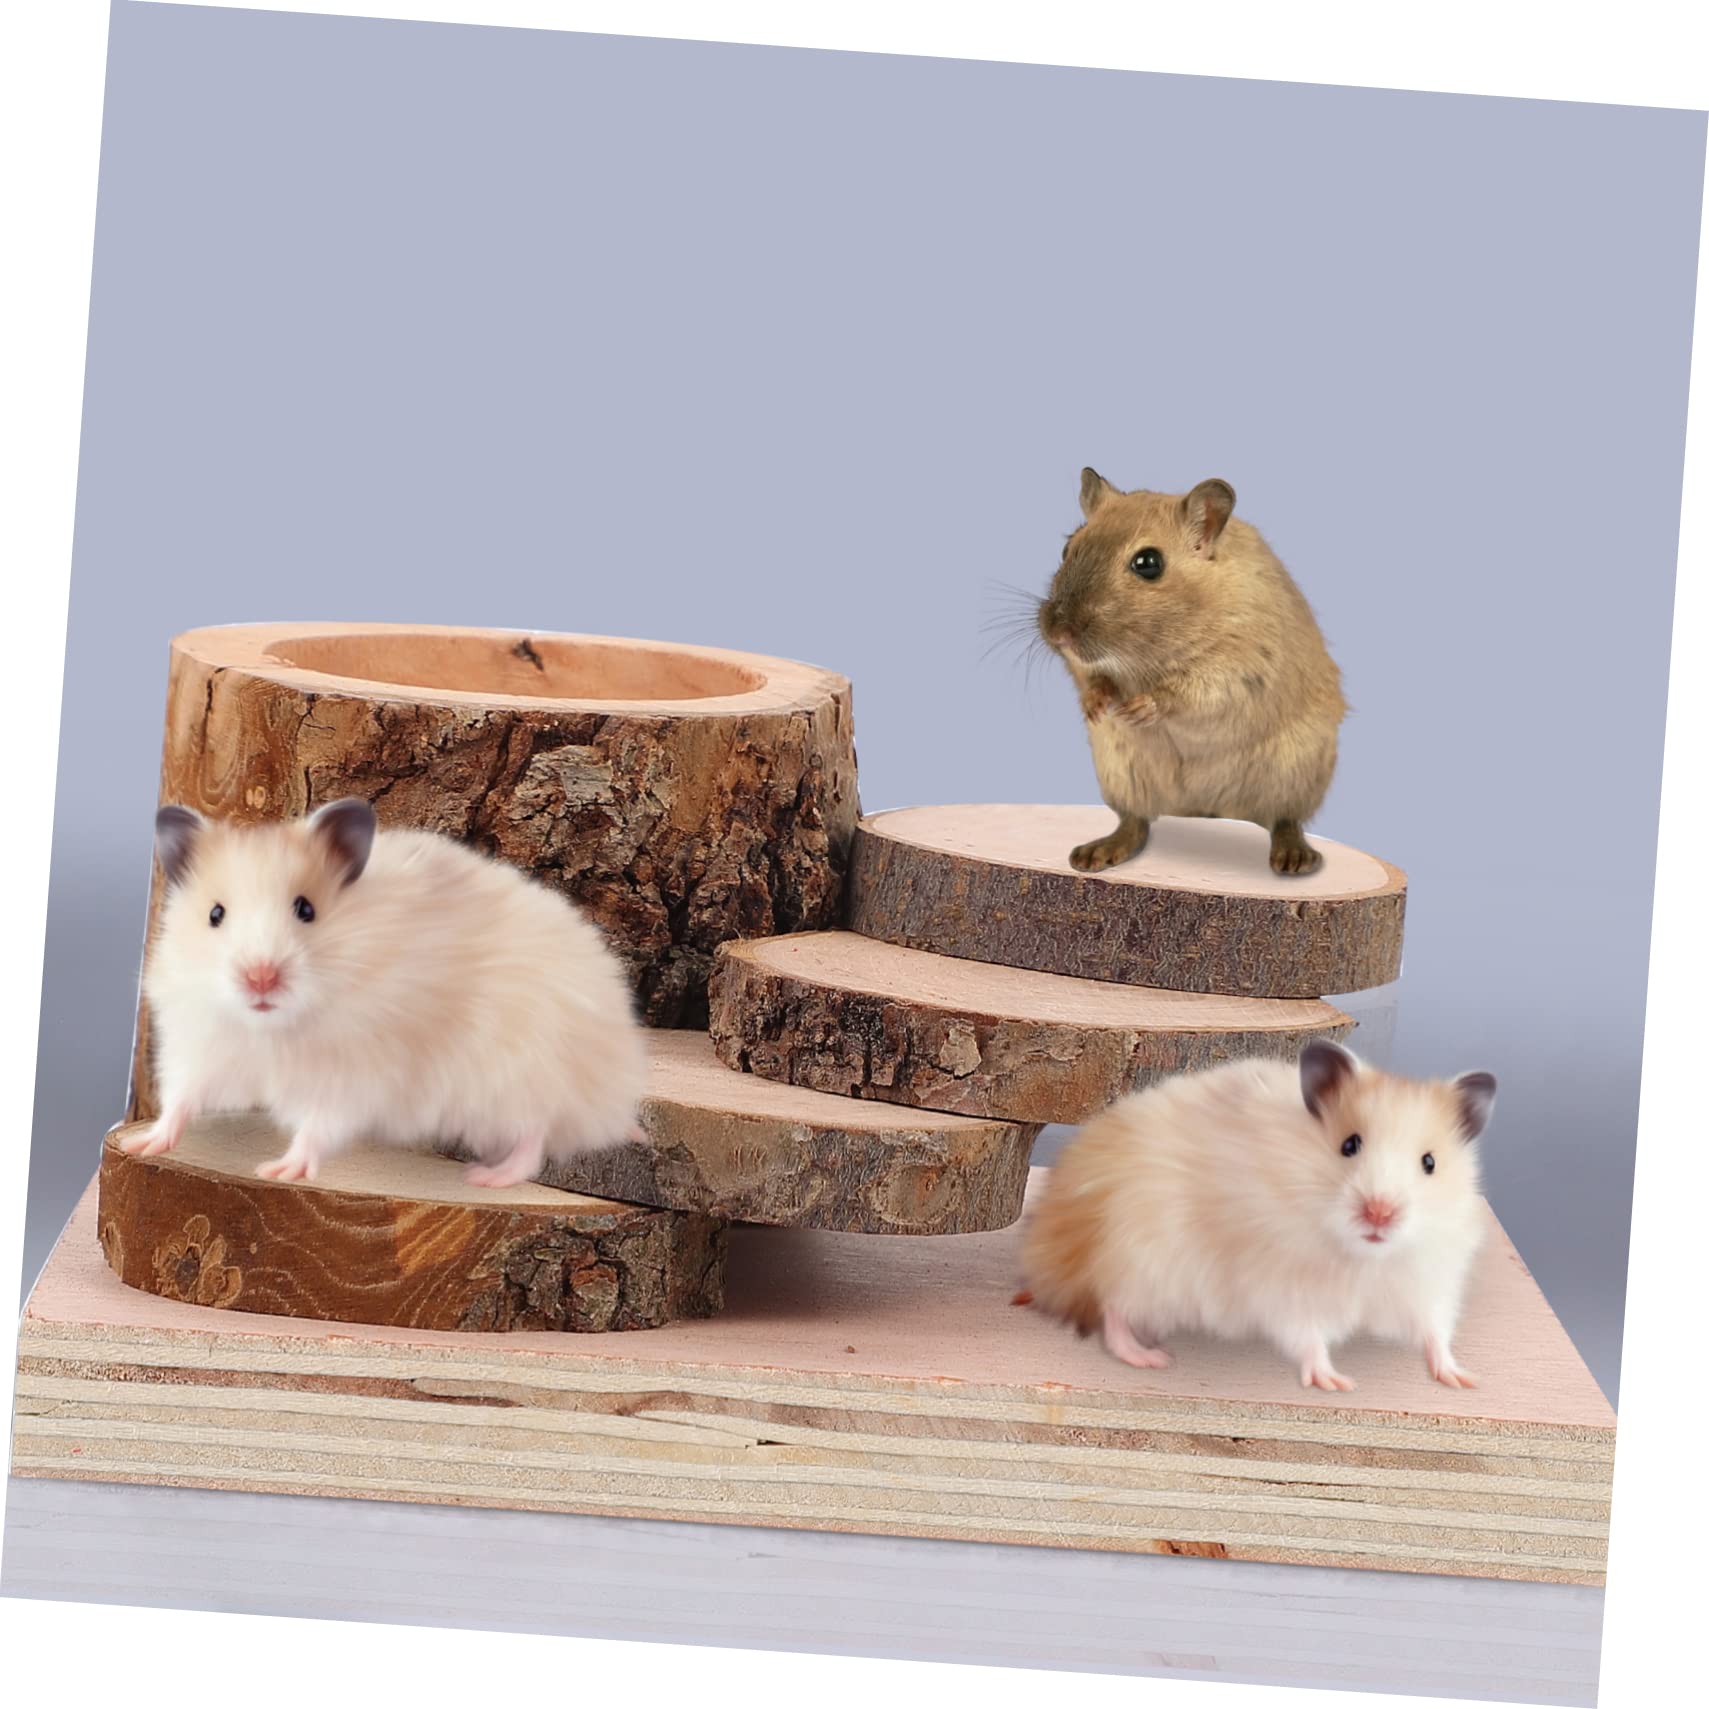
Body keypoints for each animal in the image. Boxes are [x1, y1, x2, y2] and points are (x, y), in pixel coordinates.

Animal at [123, 798, 649, 1187]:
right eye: (215, 914)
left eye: (306, 909)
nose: (261, 978)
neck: (273, 1027)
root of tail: (614, 1091)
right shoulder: (202, 1045)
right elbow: (181, 1099)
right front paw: (143, 1144)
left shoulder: (352, 1074)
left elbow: (318, 1126)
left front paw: (279, 1170)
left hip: (522, 1075)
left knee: (535, 1140)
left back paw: (486, 1178)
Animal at [1022, 1041, 1497, 1391]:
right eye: (1349, 1144)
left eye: (1430, 1163)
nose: (1380, 1213)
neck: (1364, 1258)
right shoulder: (1284, 1287)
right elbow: (1309, 1337)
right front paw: (1335, 1383)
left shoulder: (1427, 1283)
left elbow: (1436, 1332)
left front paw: (1462, 1379)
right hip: (1141, 1258)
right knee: (1113, 1312)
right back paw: (1152, 1358)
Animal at [1036, 470, 1347, 876]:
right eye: (1067, 548)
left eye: (1148, 562)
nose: (1060, 634)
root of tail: (1205, 809)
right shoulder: (1085, 666)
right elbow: (1092, 678)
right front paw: (1096, 706)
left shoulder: (1238, 667)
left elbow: (1186, 694)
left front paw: (1138, 709)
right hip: (1123, 774)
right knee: (1135, 822)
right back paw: (1095, 853)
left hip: (1296, 773)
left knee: (1284, 819)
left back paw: (1295, 858)